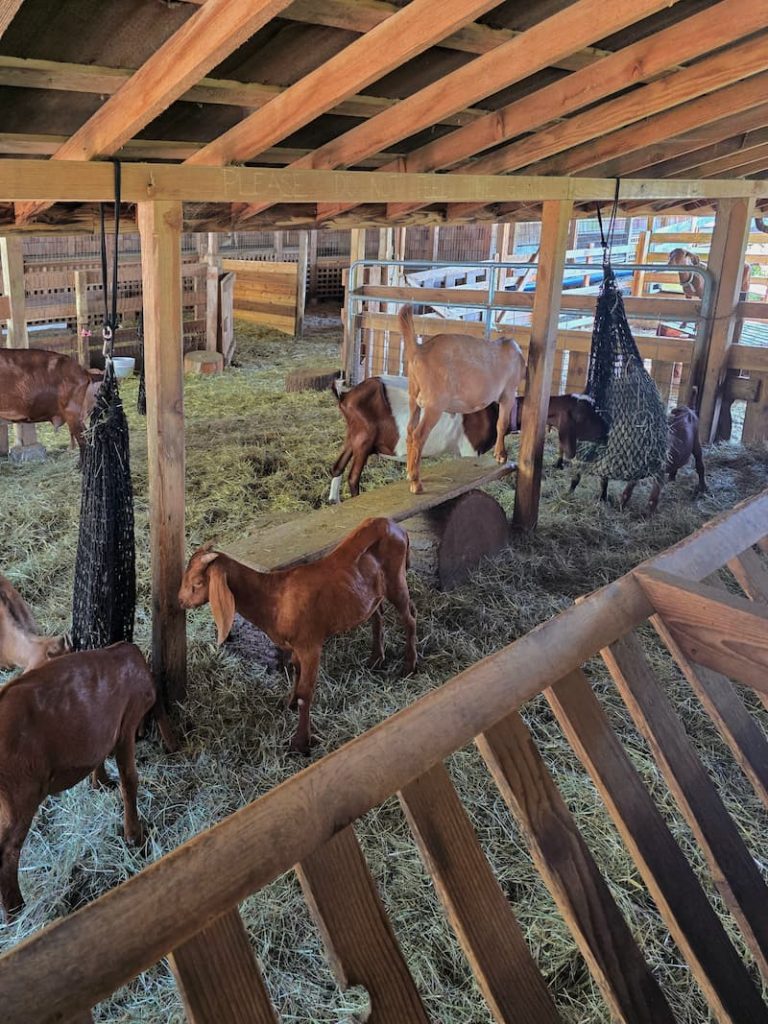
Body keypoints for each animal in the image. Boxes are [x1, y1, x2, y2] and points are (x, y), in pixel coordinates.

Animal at [0, 638, 176, 921]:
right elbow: (129, 780)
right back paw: (16, 910)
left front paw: (100, 783)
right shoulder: (126, 723)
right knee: (8, 851)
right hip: (20, 794)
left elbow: (100, 758)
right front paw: (134, 836)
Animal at [179, 520, 421, 753]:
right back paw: (376, 659)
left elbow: (307, 692)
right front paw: (290, 702)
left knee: (409, 618)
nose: (180, 601)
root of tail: (395, 526)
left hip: (396, 580)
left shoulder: (310, 645)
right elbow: (295, 670)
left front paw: (300, 742)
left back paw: (409, 666)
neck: (273, 598)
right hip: (372, 594)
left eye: (198, 582)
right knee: (378, 616)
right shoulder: (294, 646)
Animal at [329, 376, 505, 503]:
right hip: (363, 441)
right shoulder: (470, 449)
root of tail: (345, 396)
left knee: (337, 466)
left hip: (353, 437)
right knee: (353, 477)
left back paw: (334, 501)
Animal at [397, 305, 528, 493]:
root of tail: (419, 350)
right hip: (434, 405)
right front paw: (501, 456)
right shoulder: (508, 392)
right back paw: (416, 482)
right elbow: (501, 424)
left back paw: (409, 473)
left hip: (413, 398)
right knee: (418, 435)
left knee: (409, 430)